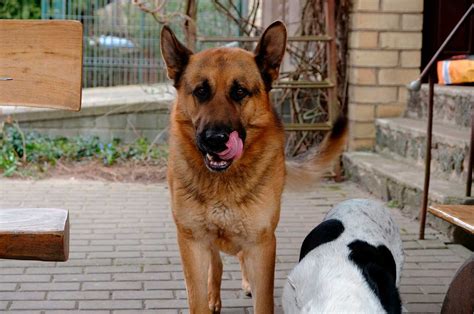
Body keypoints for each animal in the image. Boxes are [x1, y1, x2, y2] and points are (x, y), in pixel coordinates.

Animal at [161, 20, 346, 312]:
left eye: (240, 92)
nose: (216, 139)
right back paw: (215, 296)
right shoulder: (192, 242)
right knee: (217, 262)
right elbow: (198, 296)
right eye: (201, 91)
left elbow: (263, 299)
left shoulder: (262, 243)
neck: (224, 182)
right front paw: (208, 299)